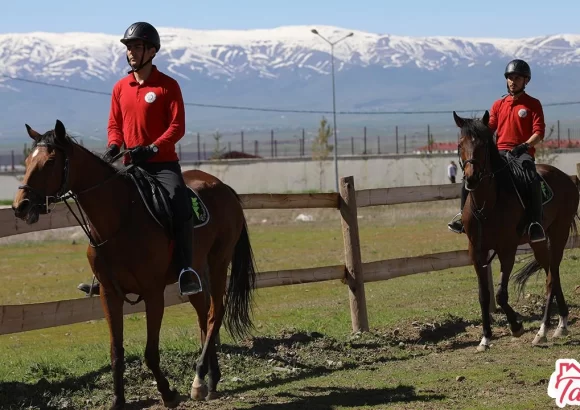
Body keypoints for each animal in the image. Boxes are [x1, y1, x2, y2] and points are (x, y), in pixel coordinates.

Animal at [10, 120, 256, 408]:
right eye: (27, 160)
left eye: (50, 162)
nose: (20, 206)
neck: (118, 220)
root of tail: (223, 186)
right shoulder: (109, 294)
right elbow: (116, 351)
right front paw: (118, 399)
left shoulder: (153, 293)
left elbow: (150, 352)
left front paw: (168, 393)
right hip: (197, 273)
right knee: (204, 315)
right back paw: (211, 378)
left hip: (218, 261)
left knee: (215, 313)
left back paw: (198, 380)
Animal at [454, 111, 580, 352]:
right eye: (460, 144)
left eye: (483, 145)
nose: (471, 178)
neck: (486, 203)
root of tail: (567, 178)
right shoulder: (476, 251)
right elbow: (484, 295)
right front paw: (485, 338)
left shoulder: (507, 249)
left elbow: (501, 295)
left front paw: (516, 327)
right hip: (538, 242)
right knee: (552, 273)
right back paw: (561, 325)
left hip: (558, 234)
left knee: (551, 278)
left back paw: (542, 332)